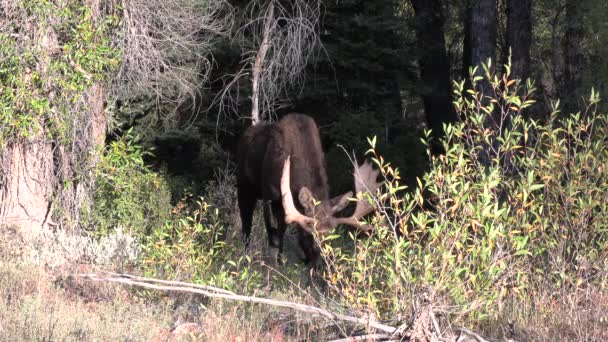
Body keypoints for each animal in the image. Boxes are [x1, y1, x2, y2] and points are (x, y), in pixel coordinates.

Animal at [236, 113, 380, 264]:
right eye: (310, 234)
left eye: (332, 234)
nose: (324, 262)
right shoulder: (269, 195)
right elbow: (275, 237)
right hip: (244, 186)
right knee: (246, 225)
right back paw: (245, 257)